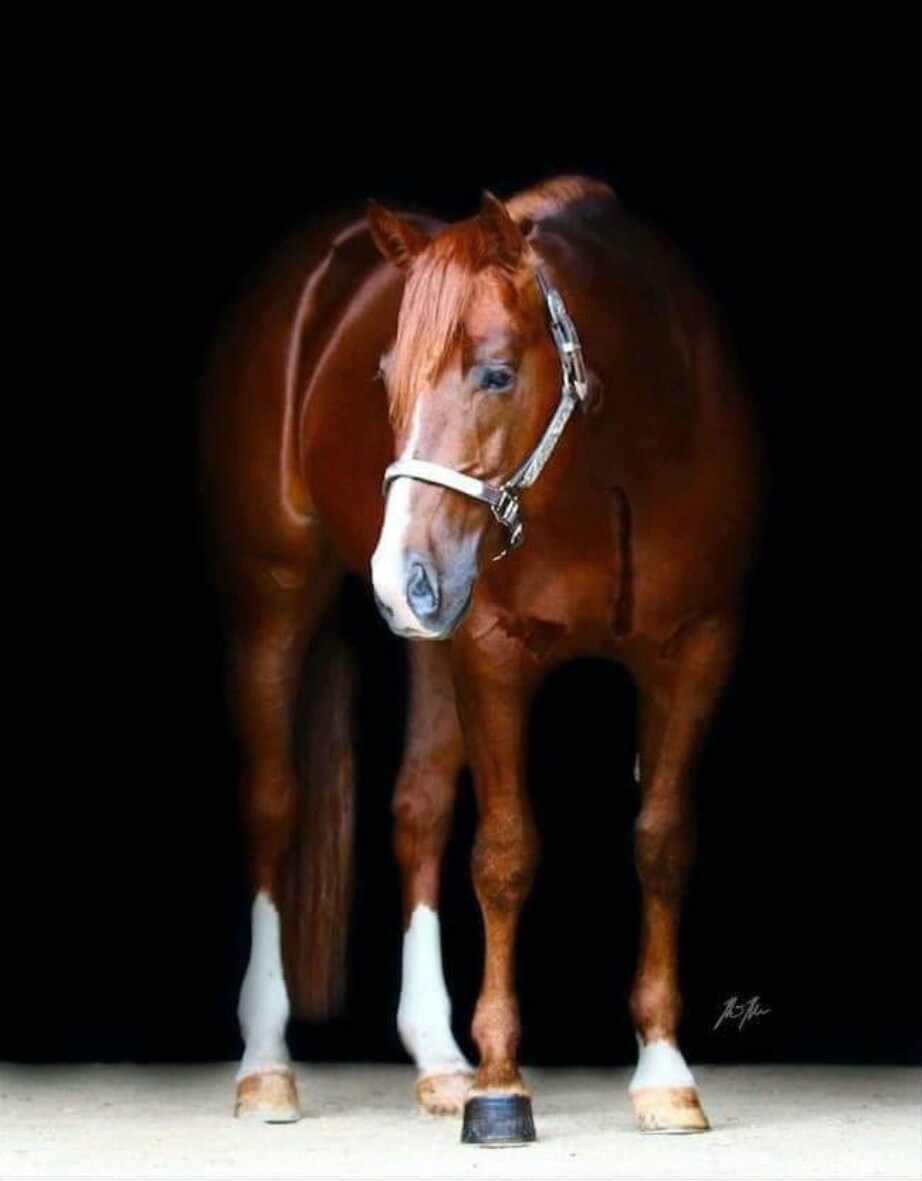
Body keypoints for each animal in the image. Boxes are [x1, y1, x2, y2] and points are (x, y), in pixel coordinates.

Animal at [199, 175, 763, 1144]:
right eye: (384, 376)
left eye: (496, 372)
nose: (397, 579)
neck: (623, 466)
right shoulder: (495, 653)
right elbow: (504, 852)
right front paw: (502, 1089)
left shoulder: (696, 649)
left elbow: (661, 841)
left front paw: (664, 1073)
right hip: (275, 605)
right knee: (274, 808)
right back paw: (268, 1066)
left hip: (436, 638)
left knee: (417, 810)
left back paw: (439, 1060)